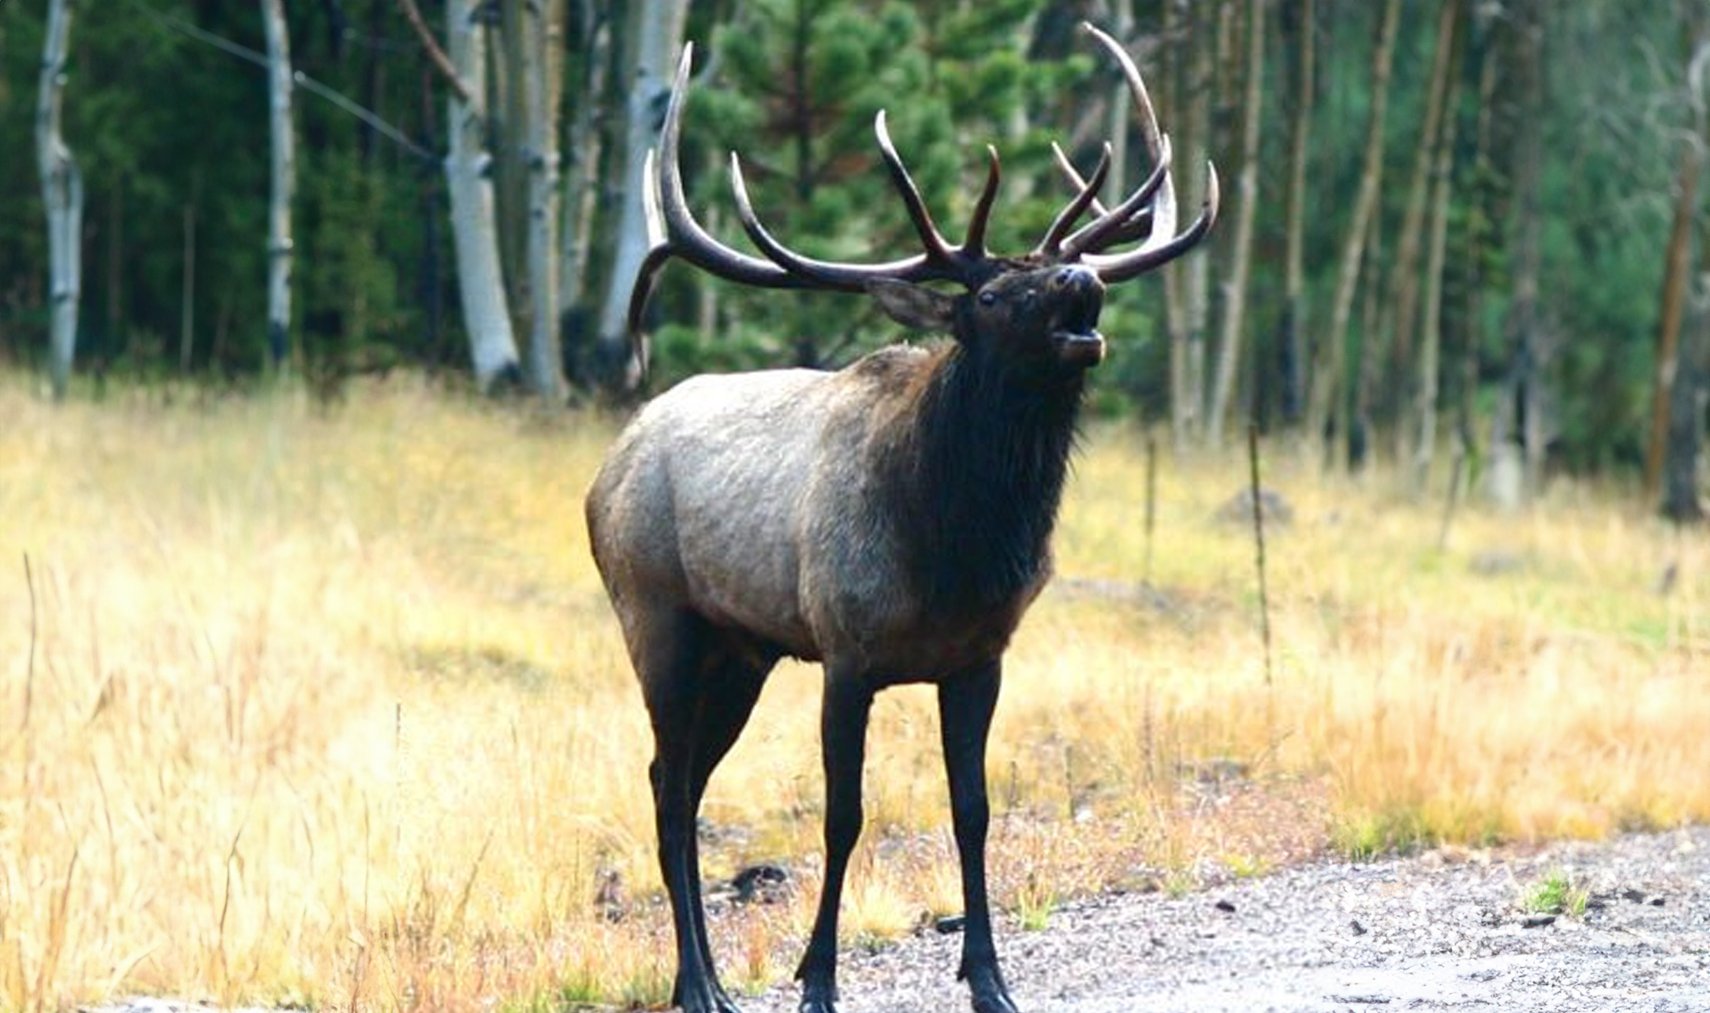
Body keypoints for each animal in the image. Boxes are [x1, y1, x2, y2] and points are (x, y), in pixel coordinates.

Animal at [588, 21, 1217, 1013]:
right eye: (992, 294)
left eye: (1060, 270)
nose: (1081, 279)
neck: (955, 548)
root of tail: (604, 468)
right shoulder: (847, 652)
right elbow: (843, 816)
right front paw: (816, 980)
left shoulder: (980, 656)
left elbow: (974, 810)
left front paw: (990, 979)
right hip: (658, 620)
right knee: (665, 782)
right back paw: (696, 982)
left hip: (742, 651)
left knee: (681, 783)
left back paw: (709, 974)